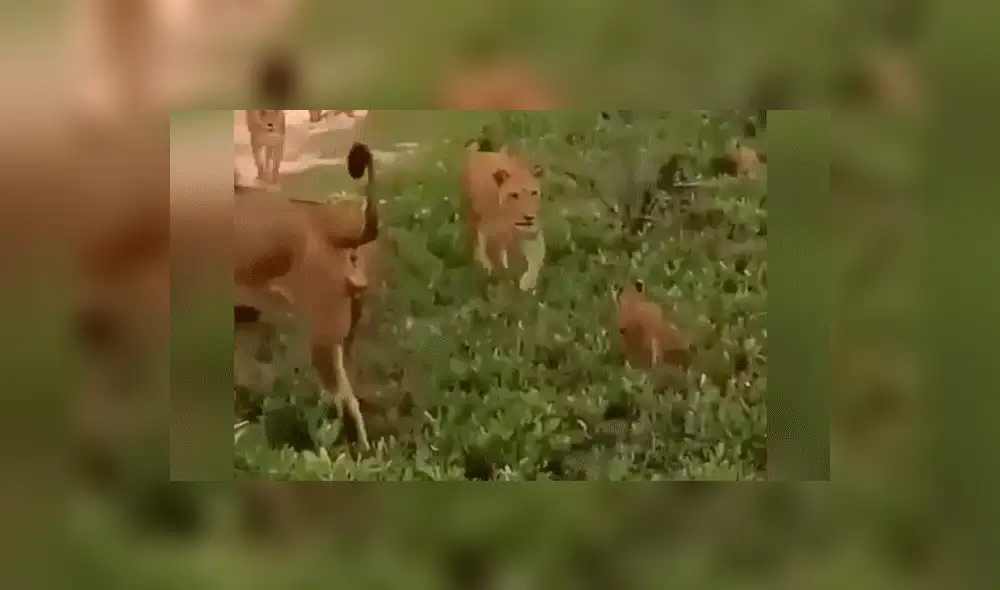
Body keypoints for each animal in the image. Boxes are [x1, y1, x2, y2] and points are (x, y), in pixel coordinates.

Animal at [459, 142, 546, 291]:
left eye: (533, 193)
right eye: (514, 195)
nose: (528, 217)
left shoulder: (532, 235)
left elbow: (535, 259)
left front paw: (527, 283)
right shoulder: (486, 235)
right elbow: (488, 259)